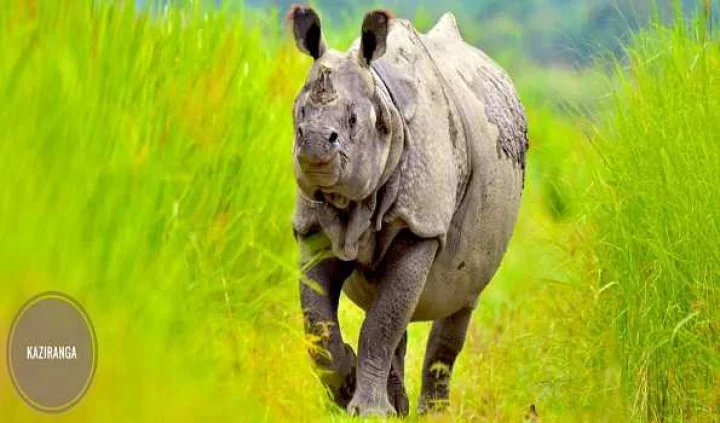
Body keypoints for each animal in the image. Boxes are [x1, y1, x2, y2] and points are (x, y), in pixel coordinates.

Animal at [289, 6, 528, 417]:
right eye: (298, 114)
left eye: (353, 121)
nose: (315, 144)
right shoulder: (312, 225)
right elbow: (318, 321)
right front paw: (344, 391)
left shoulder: (421, 224)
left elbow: (380, 322)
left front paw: (367, 412)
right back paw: (396, 408)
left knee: (459, 301)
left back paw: (432, 413)